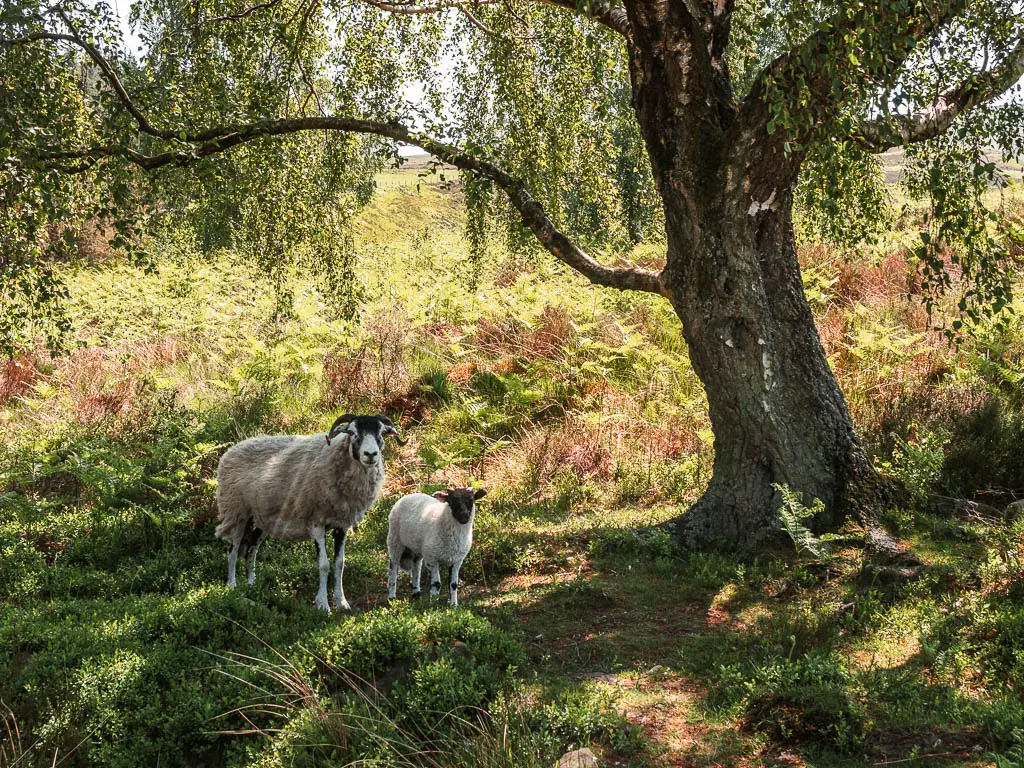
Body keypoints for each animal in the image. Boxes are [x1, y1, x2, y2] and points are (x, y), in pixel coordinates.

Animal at [212, 415, 403, 614]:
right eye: (352, 432)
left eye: (382, 432)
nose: (371, 454)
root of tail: (231, 450)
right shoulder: (315, 522)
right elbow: (324, 564)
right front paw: (323, 604)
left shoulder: (342, 524)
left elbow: (339, 564)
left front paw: (342, 602)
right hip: (236, 512)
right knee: (233, 551)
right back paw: (232, 587)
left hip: (261, 520)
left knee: (251, 551)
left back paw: (252, 586)